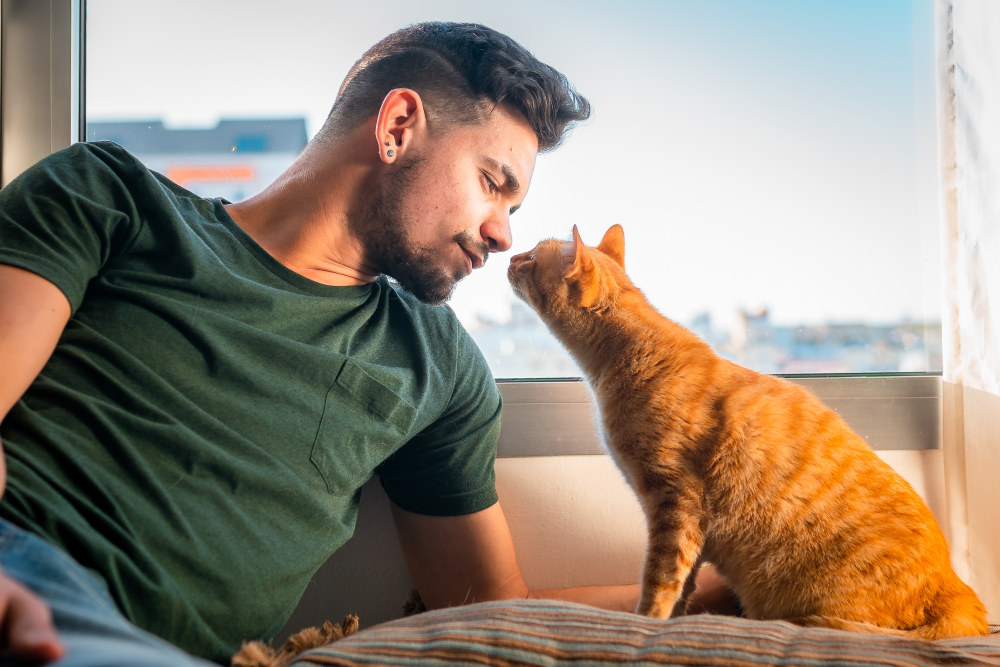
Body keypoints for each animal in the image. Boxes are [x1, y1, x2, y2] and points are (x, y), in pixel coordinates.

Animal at [504, 226, 988, 640]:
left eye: (531, 257)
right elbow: (684, 586)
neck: (624, 357)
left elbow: (660, 585)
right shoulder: (686, 525)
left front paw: (646, 623)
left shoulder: (675, 504)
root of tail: (957, 588)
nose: (509, 257)